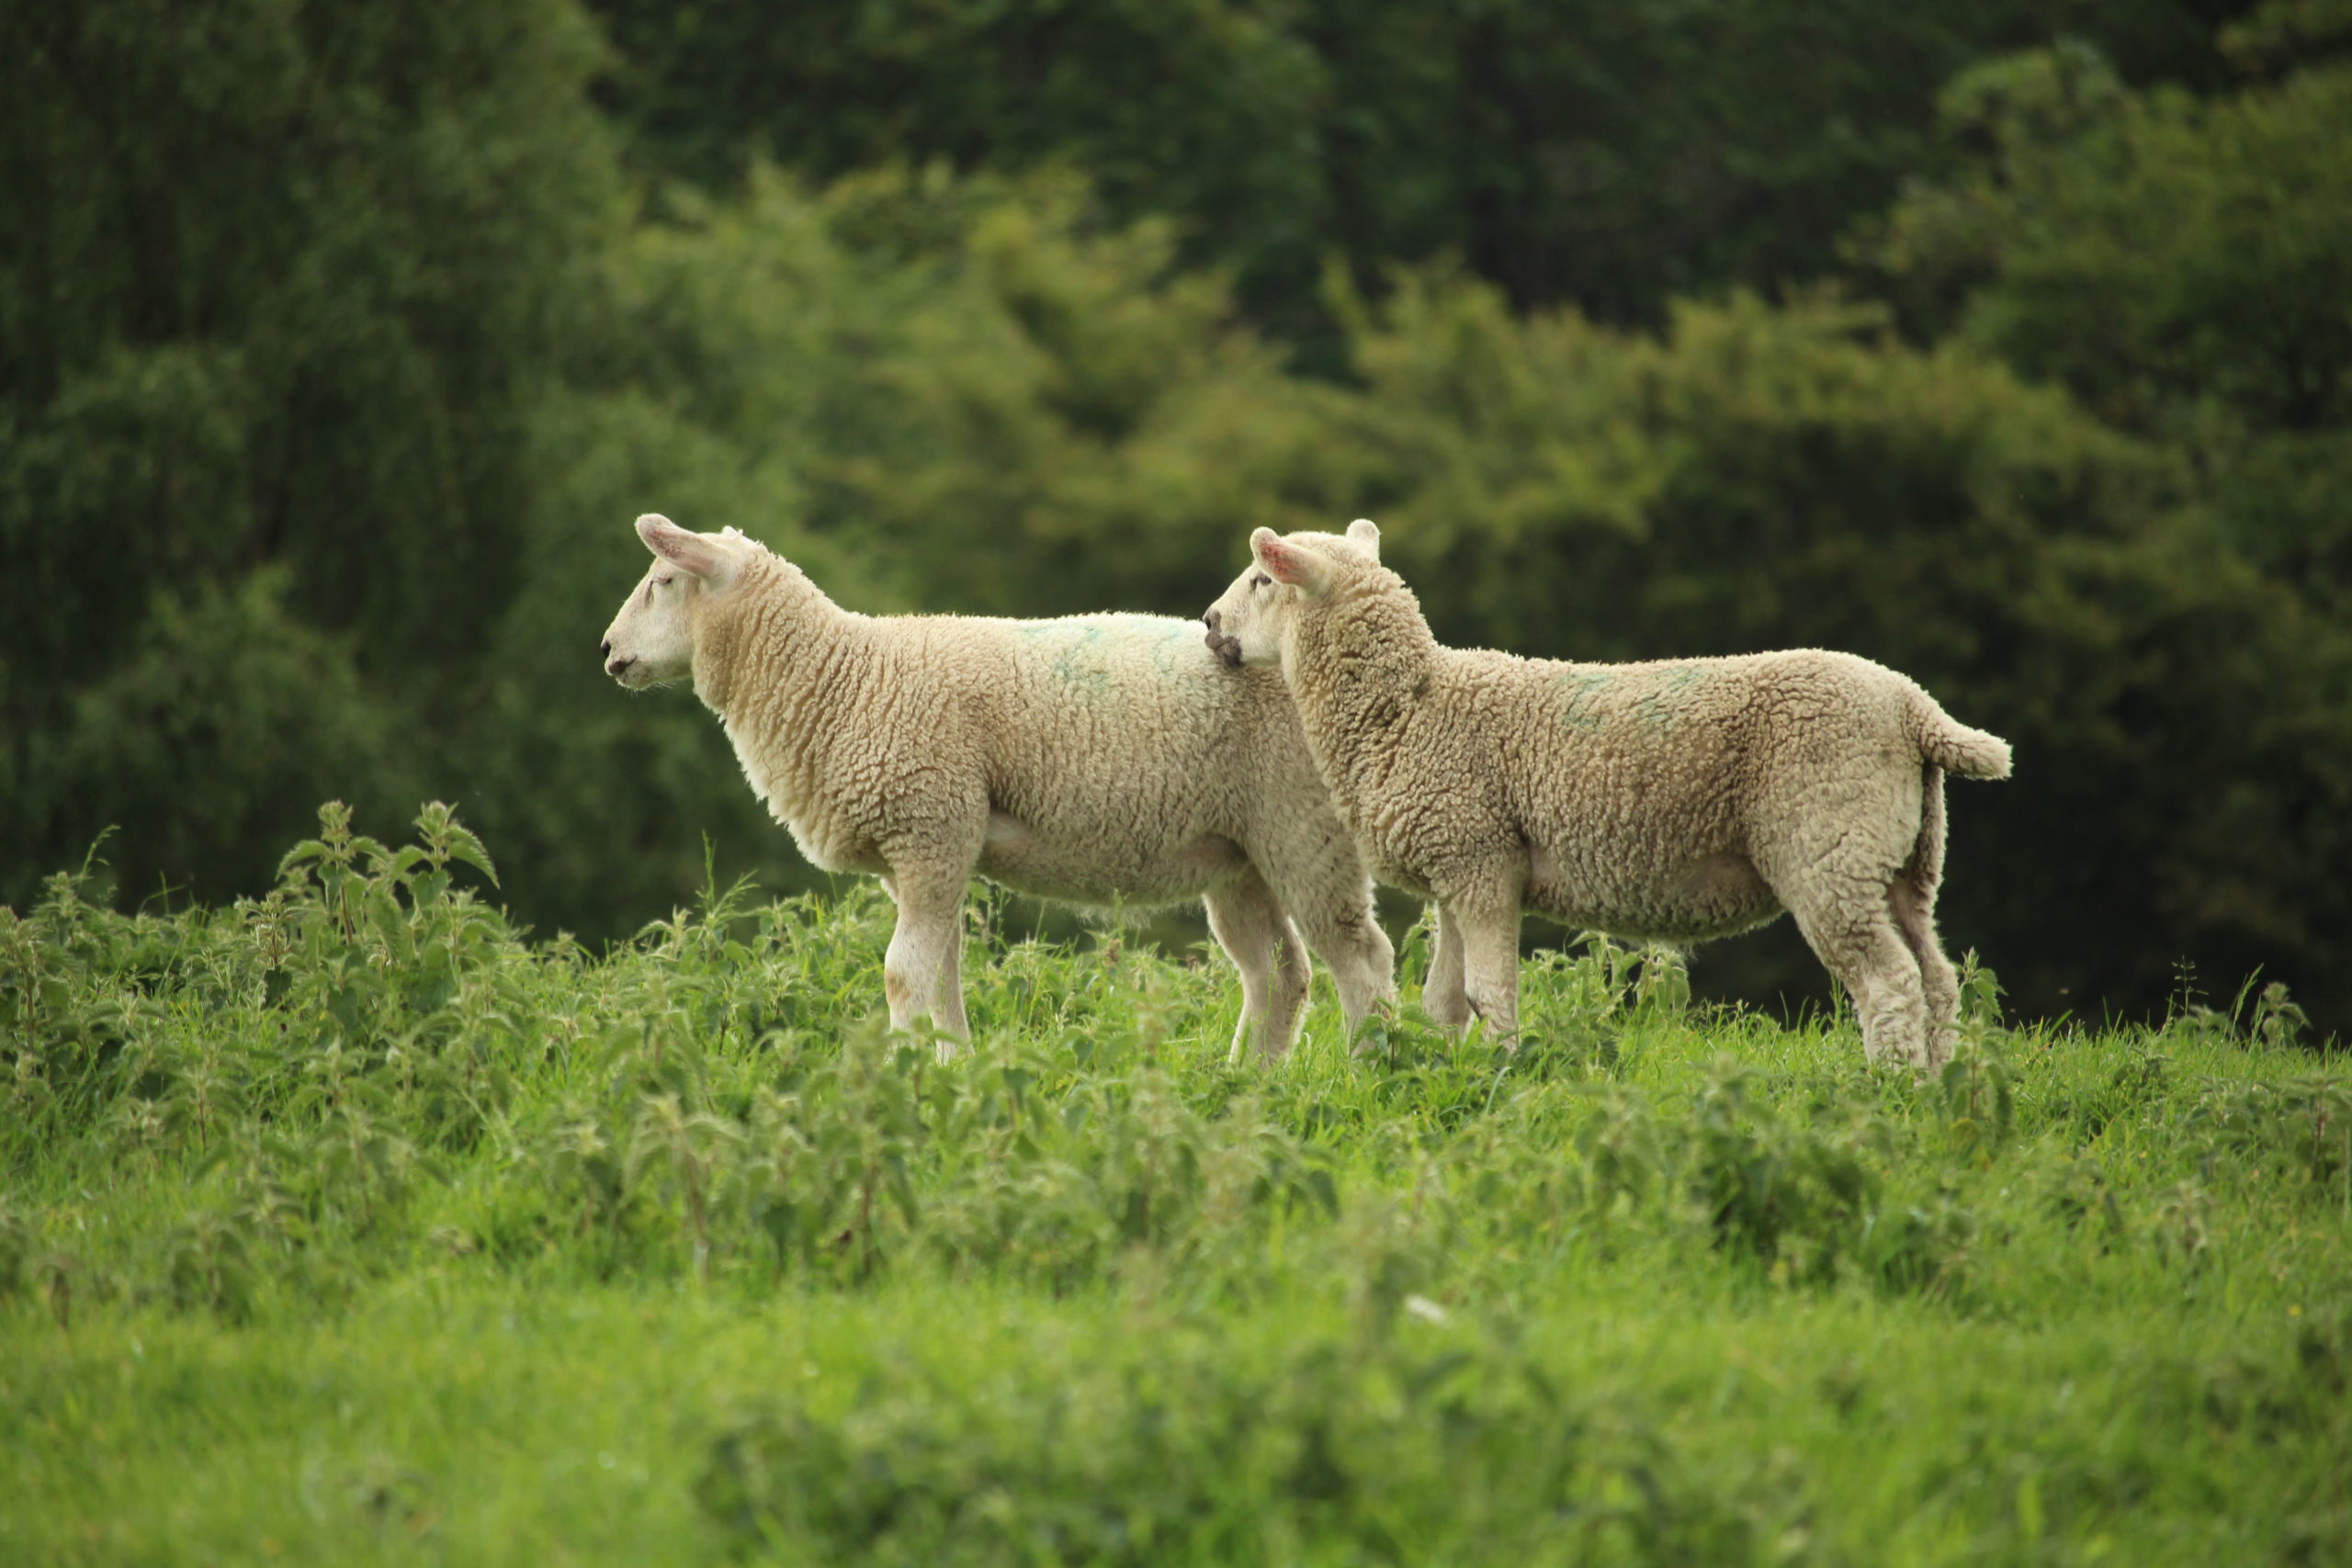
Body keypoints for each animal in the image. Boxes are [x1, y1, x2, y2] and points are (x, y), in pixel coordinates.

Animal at [597, 512, 1392, 1053]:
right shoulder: (931, 852)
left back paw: (1372, 1069)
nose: (607, 651)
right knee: (1280, 974)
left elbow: (903, 975)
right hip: (1240, 853)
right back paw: (1244, 1082)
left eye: (663, 581)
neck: (844, 676)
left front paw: (905, 1075)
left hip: (1306, 831)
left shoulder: (929, 829)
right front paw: (950, 1066)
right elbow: (942, 977)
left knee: (1361, 962)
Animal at [1204, 522, 2013, 1072]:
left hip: (1829, 843)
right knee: (1938, 977)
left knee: (1889, 982)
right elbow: (1446, 1001)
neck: (1405, 708)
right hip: (1902, 857)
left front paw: (1502, 1076)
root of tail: (1912, 706)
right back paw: (1942, 1084)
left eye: (1262, 579)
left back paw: (1892, 1087)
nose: (1210, 624)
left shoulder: (1481, 861)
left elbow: (1491, 993)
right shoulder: (1457, 867)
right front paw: (1447, 1074)